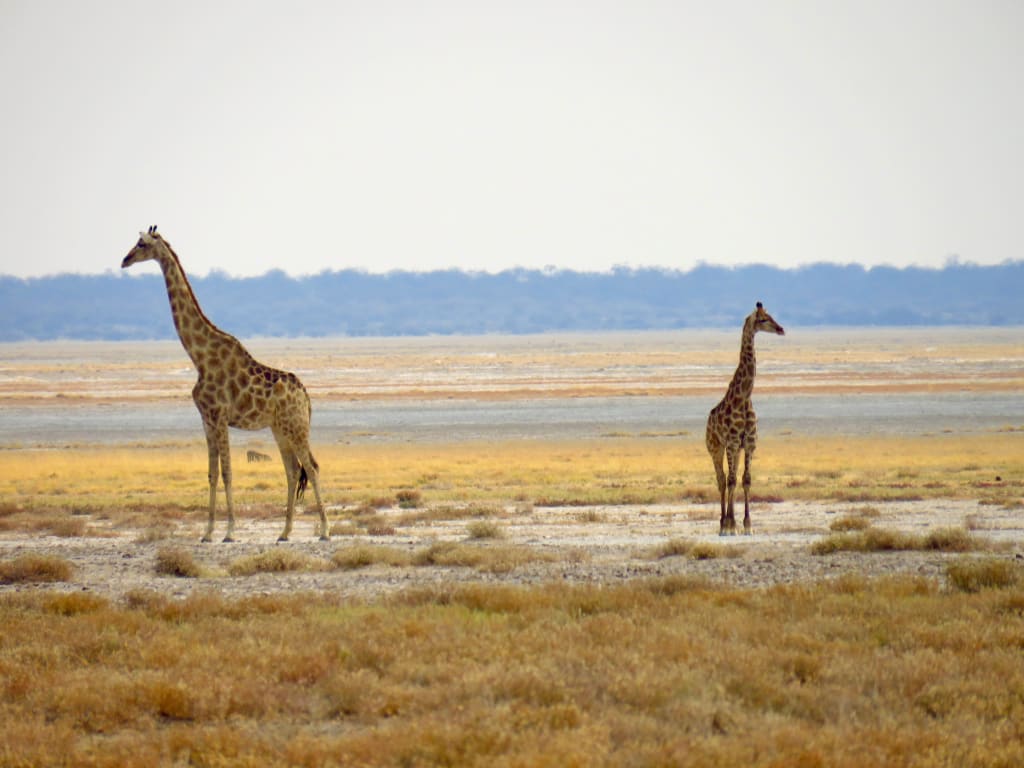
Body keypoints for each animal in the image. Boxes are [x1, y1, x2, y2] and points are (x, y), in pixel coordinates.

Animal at [122, 226, 328, 542]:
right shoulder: (206, 420)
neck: (199, 357)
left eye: (142, 243)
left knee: (313, 467)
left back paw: (326, 531)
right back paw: (284, 532)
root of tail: (305, 396)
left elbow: (228, 472)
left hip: (296, 426)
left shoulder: (219, 417)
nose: (125, 260)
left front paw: (230, 531)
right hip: (280, 428)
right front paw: (207, 532)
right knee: (293, 470)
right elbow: (212, 474)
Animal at [705, 302, 785, 535]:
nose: (781, 329)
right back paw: (722, 523)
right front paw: (730, 526)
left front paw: (747, 525)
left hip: (735, 450)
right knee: (722, 480)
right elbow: (731, 481)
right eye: (763, 319)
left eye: (771, 316)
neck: (744, 398)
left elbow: (746, 480)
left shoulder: (749, 443)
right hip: (715, 448)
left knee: (730, 478)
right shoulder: (732, 443)